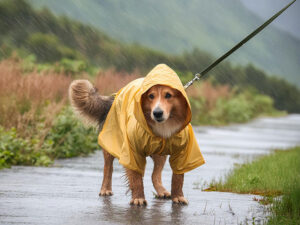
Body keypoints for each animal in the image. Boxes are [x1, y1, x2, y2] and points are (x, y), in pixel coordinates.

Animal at [68, 63, 205, 206]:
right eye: (151, 96)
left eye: (168, 95)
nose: (157, 113)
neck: (163, 128)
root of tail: (112, 98)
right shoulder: (131, 152)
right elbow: (136, 178)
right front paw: (138, 198)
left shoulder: (182, 154)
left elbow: (178, 178)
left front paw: (178, 196)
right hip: (110, 143)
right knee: (108, 168)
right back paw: (105, 189)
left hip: (160, 154)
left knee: (155, 175)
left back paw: (161, 191)